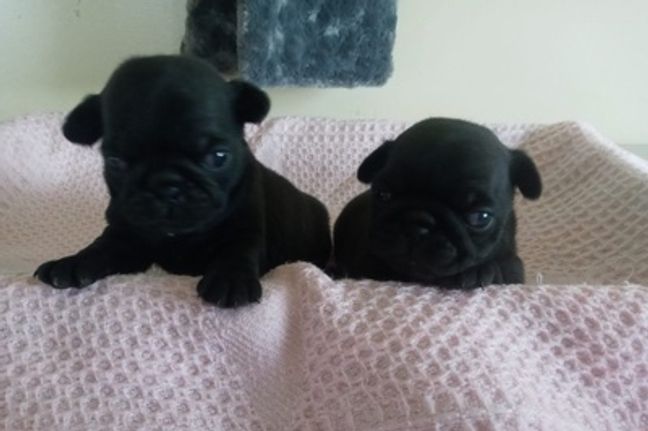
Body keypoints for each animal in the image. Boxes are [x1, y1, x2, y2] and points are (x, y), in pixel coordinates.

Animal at [35, 55, 332, 308]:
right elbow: (101, 247)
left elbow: (236, 251)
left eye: (218, 157)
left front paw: (231, 279)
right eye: (115, 163)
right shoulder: (125, 234)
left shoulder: (245, 228)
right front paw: (73, 262)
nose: (166, 185)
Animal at [332, 118, 542, 288]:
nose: (415, 224)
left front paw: (482, 271)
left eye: (480, 217)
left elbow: (510, 266)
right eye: (383, 194)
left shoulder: (513, 266)